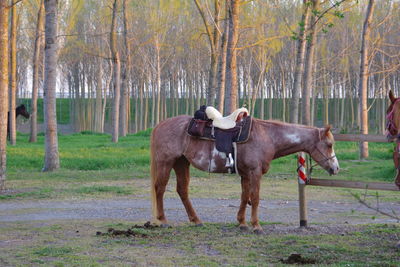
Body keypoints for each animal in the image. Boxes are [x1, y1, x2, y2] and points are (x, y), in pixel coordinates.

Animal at [152, 115, 340, 234]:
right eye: (329, 144)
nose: (336, 168)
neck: (268, 137)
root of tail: (160, 124)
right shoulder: (254, 172)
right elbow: (254, 198)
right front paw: (256, 226)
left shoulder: (245, 174)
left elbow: (244, 196)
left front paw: (242, 223)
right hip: (166, 162)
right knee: (160, 189)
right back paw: (163, 220)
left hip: (181, 163)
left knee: (182, 190)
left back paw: (196, 220)